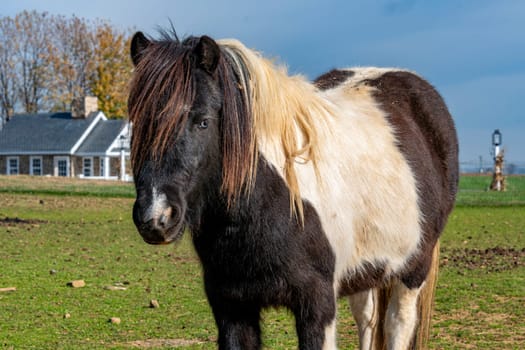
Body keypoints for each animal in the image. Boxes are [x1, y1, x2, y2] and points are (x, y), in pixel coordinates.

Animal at [128, 30, 458, 350]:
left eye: (203, 121)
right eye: (136, 123)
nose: (156, 218)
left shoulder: (317, 305)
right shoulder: (232, 307)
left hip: (412, 271)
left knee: (397, 324)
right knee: (367, 318)